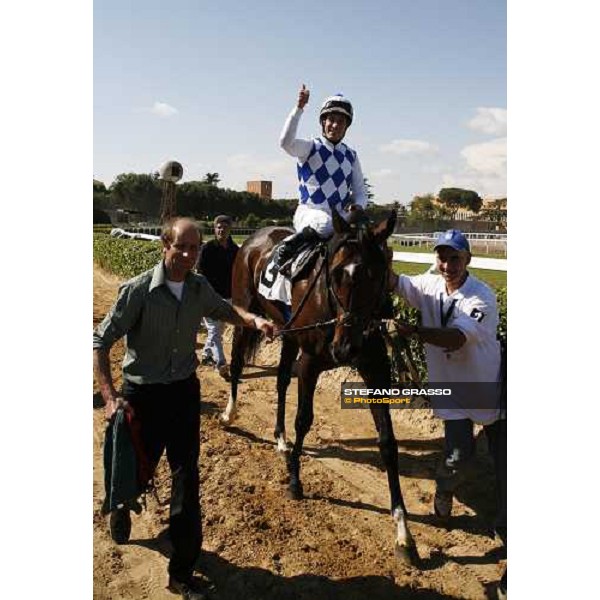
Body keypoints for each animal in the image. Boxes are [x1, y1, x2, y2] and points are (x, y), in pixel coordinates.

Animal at [219, 209, 418, 564]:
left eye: (377, 274)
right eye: (336, 273)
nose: (345, 349)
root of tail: (254, 238)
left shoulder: (375, 368)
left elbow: (387, 442)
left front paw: (403, 531)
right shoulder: (311, 362)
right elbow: (304, 420)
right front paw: (295, 483)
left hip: (285, 332)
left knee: (281, 381)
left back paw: (280, 440)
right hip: (245, 311)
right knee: (239, 364)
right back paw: (230, 414)